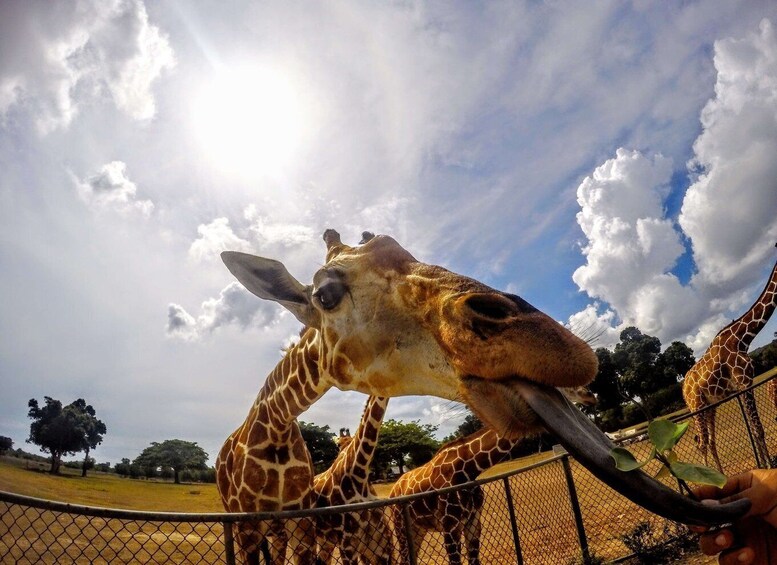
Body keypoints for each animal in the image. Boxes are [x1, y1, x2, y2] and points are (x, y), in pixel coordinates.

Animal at [388, 386, 596, 560]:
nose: (590, 395)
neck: (470, 469)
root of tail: (394, 490)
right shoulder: (450, 527)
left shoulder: (473, 522)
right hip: (401, 526)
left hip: (418, 529)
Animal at [684, 247, 776, 472]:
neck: (743, 338)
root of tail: (683, 390)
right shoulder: (744, 382)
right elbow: (758, 430)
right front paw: (769, 467)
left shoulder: (743, 385)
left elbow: (754, 430)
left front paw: (764, 465)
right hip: (697, 407)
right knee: (702, 443)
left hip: (710, 407)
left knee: (710, 441)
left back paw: (720, 474)